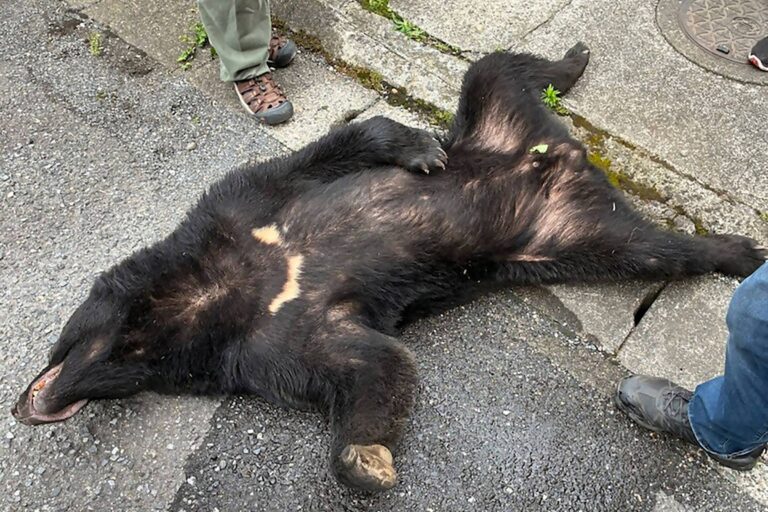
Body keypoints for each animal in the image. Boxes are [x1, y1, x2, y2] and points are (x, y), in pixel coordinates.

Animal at [12, 43, 765, 492]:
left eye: (63, 342)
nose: (29, 404)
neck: (213, 294)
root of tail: (561, 154)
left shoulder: (239, 207)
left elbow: (333, 148)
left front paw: (420, 152)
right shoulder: (262, 346)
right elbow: (373, 364)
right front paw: (367, 461)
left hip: (492, 122)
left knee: (495, 67)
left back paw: (575, 61)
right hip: (570, 235)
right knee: (653, 248)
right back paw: (734, 249)